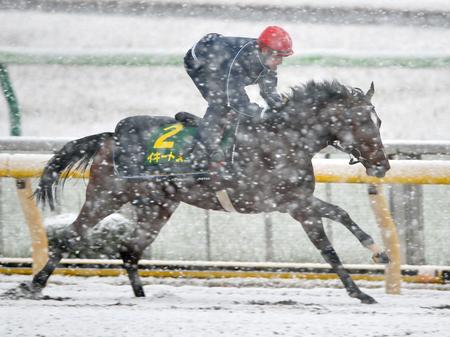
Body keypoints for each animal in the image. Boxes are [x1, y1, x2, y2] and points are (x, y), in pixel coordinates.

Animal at [21, 80, 388, 304]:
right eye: (361, 122)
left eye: (378, 122)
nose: (382, 165)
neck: (282, 140)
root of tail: (109, 136)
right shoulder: (292, 203)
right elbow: (329, 243)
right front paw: (363, 284)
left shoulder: (298, 202)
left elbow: (338, 220)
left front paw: (375, 257)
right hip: (106, 195)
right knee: (70, 237)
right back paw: (34, 284)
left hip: (158, 206)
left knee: (130, 249)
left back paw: (141, 296)